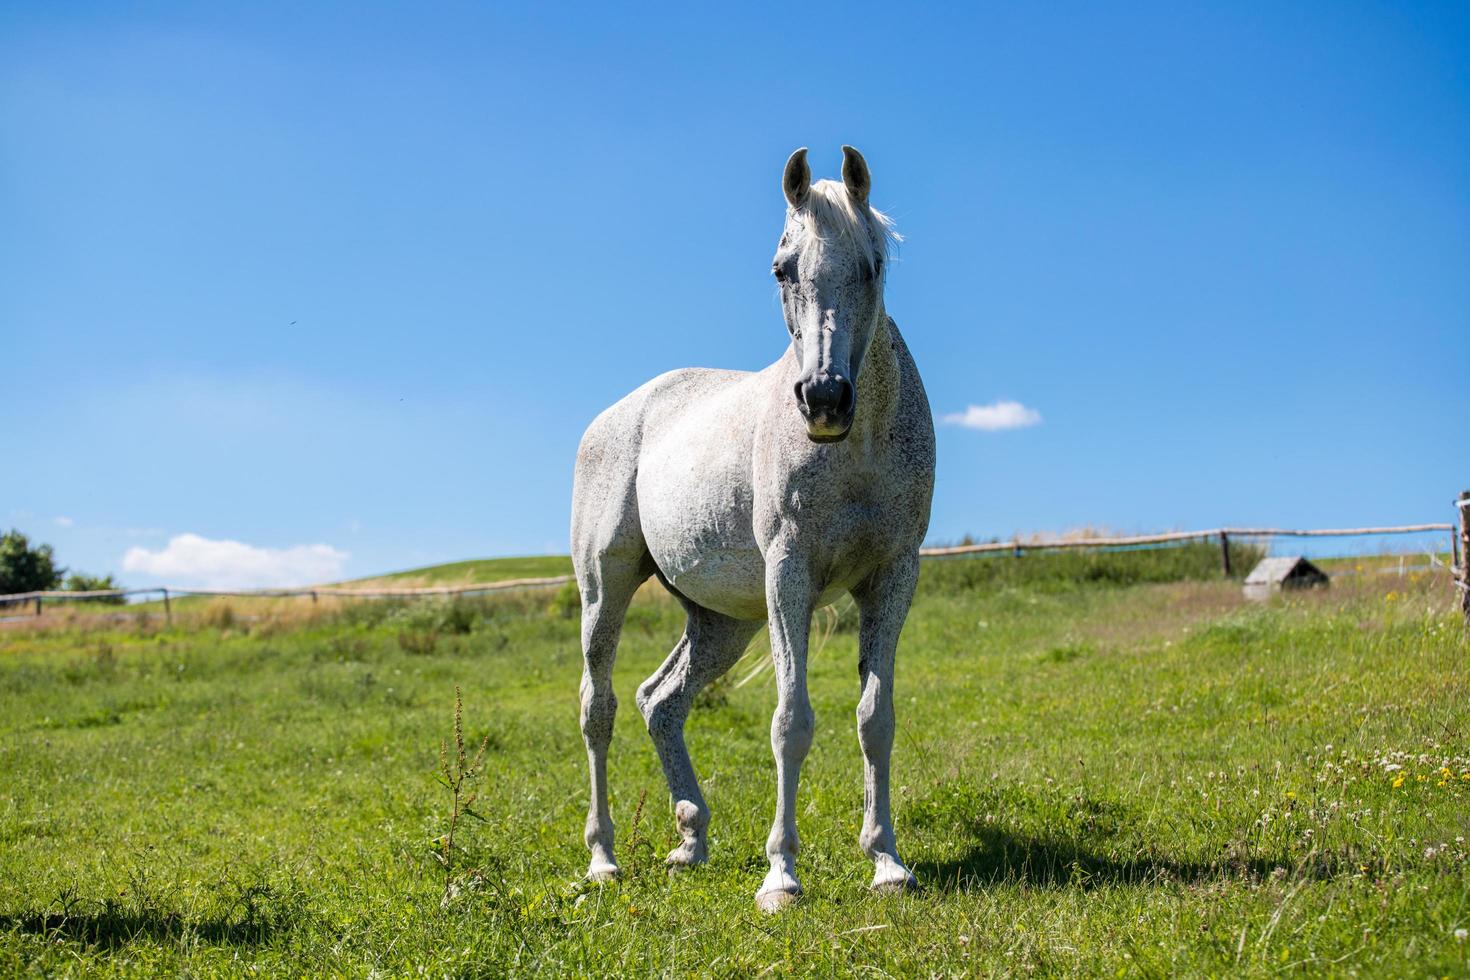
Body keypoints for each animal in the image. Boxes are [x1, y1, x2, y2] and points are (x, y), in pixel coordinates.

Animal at [570, 145, 929, 910]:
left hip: (721, 622)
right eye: (782, 268)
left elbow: (875, 718)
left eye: (872, 264)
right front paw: (781, 874)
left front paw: (887, 861)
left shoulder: (894, 576)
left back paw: (690, 839)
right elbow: (791, 722)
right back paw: (603, 859)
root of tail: (618, 414)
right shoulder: (789, 576)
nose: (824, 399)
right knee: (599, 708)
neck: (855, 450)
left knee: (660, 702)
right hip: (604, 592)